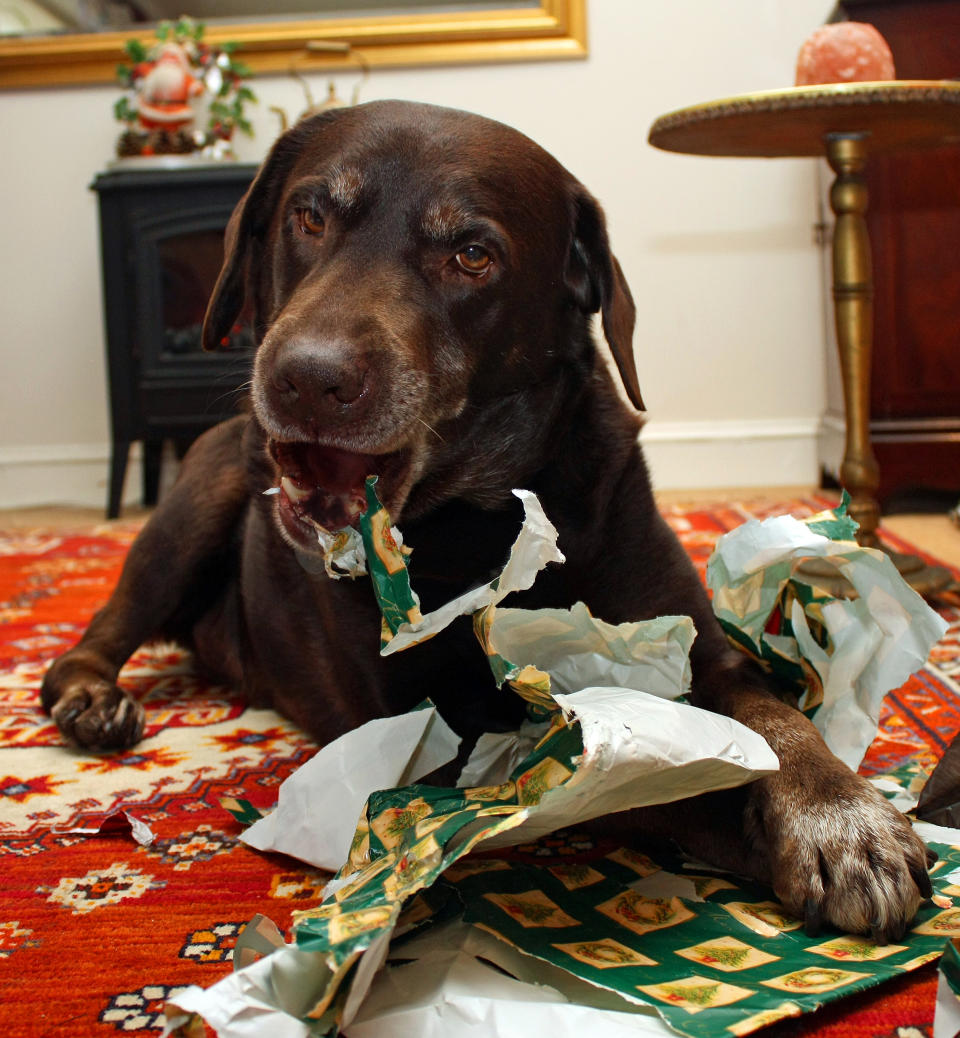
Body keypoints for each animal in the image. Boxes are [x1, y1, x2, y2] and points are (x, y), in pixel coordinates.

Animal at [41, 103, 934, 942]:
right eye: (310, 217)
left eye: (472, 254)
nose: (306, 380)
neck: (490, 518)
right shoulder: (436, 736)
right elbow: (634, 788)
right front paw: (744, 817)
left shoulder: (696, 646)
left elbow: (779, 719)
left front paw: (840, 813)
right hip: (200, 500)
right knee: (92, 639)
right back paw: (90, 698)